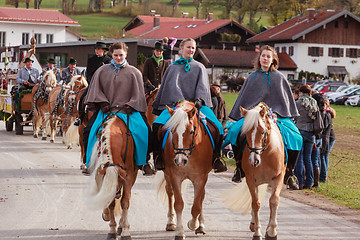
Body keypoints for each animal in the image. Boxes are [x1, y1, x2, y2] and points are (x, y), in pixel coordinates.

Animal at [158, 100, 214, 239]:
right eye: (172, 131)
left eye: (191, 131)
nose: (180, 160)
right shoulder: (175, 176)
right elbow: (178, 204)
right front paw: (179, 232)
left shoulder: (201, 178)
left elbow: (197, 205)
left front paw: (194, 224)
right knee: (170, 192)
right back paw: (171, 223)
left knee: (201, 197)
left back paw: (201, 225)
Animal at [224, 103, 286, 240]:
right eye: (245, 133)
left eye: (262, 132)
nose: (254, 161)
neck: (265, 154)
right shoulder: (251, 180)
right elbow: (255, 203)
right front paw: (258, 232)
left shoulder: (278, 178)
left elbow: (274, 201)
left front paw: (272, 232)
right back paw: (253, 224)